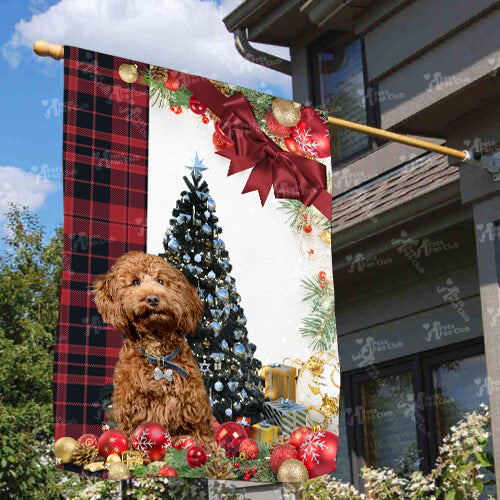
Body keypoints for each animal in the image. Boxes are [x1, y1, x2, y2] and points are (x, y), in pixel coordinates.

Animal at [93, 252, 214, 444]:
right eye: (135, 282)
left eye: (161, 281)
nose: (152, 298)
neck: (159, 356)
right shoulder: (133, 413)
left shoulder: (194, 412)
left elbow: (205, 441)